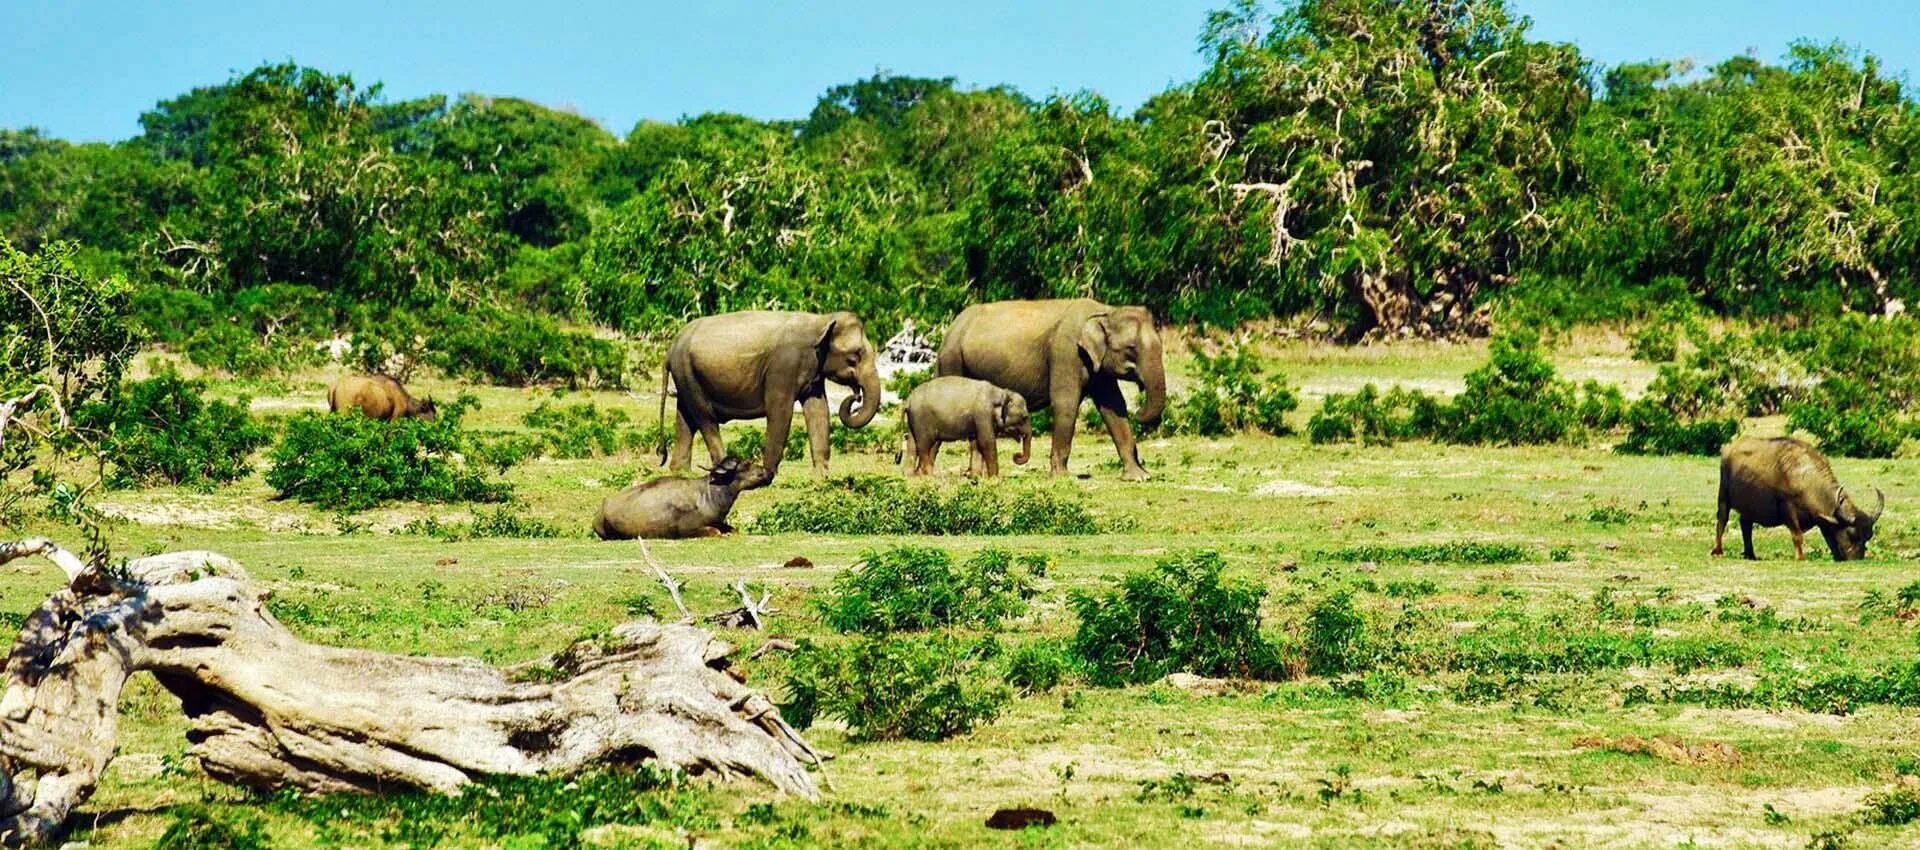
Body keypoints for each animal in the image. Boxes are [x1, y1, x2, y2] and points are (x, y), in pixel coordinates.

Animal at [591, 456, 764, 541]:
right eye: (747, 464)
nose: (766, 472)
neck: (708, 495)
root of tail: (602, 508)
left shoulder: (718, 521)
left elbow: (733, 529)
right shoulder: (688, 530)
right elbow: (713, 531)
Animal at [652, 312, 879, 485]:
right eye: (854, 358)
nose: (856, 396)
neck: (821, 321)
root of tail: (670, 349)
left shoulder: (813, 373)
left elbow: (818, 410)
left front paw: (820, 477)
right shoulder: (783, 367)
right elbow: (780, 412)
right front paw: (768, 475)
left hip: (686, 375)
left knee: (686, 418)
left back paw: (680, 471)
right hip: (688, 373)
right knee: (705, 417)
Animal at [898, 377, 1036, 479]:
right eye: (1024, 417)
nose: (1016, 455)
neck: (1000, 392)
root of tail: (907, 400)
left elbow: (976, 444)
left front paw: (976, 477)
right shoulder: (982, 413)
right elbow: (987, 442)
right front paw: (994, 479)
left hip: (913, 421)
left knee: (912, 445)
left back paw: (910, 476)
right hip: (921, 421)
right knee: (924, 445)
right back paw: (930, 477)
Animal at [933, 297, 1159, 479]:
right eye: (1131, 349)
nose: (1139, 410)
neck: (1106, 311)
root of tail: (950, 329)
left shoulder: (1098, 368)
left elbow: (1113, 407)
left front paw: (1139, 477)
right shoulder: (1066, 353)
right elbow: (1066, 404)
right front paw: (1062, 477)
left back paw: (975, 475)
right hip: (952, 360)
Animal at [1720, 439, 1881, 564]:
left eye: (1868, 536)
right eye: (1851, 534)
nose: (1857, 559)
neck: (1806, 479)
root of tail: (1728, 449)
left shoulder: (1823, 520)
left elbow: (1830, 538)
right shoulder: (1788, 507)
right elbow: (1797, 535)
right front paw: (1800, 557)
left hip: (1749, 508)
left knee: (1745, 525)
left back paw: (1750, 555)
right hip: (1723, 496)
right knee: (1722, 520)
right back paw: (1718, 551)